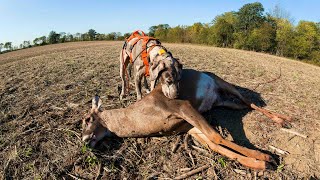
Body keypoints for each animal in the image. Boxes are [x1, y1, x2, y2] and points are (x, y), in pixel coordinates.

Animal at [82, 69, 290, 170]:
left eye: (87, 119)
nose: (84, 140)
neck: (144, 114)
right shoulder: (188, 128)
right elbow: (216, 145)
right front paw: (262, 163)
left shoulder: (182, 106)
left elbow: (217, 137)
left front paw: (266, 157)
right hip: (223, 102)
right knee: (245, 105)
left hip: (223, 83)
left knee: (250, 101)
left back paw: (284, 120)